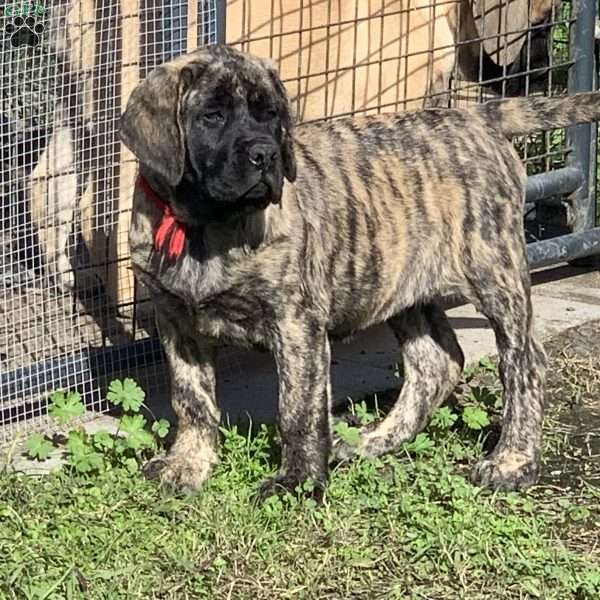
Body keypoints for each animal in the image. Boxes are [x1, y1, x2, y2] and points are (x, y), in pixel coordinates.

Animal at [119, 44, 600, 500]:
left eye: (270, 115)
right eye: (212, 116)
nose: (265, 154)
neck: (202, 226)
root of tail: (475, 114)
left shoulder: (296, 322)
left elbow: (298, 409)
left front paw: (299, 482)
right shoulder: (177, 322)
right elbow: (191, 399)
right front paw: (187, 464)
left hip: (494, 269)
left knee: (523, 362)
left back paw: (513, 461)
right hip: (403, 283)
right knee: (436, 363)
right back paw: (374, 440)